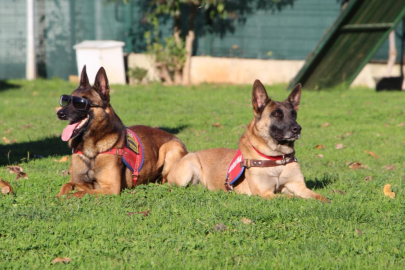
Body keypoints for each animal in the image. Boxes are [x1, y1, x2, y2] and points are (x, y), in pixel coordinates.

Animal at [55, 65, 188, 196]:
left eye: (80, 104)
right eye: (66, 101)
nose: (59, 113)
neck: (90, 150)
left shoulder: (110, 188)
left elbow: (77, 194)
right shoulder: (79, 182)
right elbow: (66, 187)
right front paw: (57, 197)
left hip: (171, 149)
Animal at [167, 80, 328, 202]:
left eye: (294, 114)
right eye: (276, 114)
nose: (297, 129)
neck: (277, 159)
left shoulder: (298, 186)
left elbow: (317, 196)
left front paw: (327, 201)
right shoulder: (265, 193)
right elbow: (293, 198)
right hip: (188, 171)